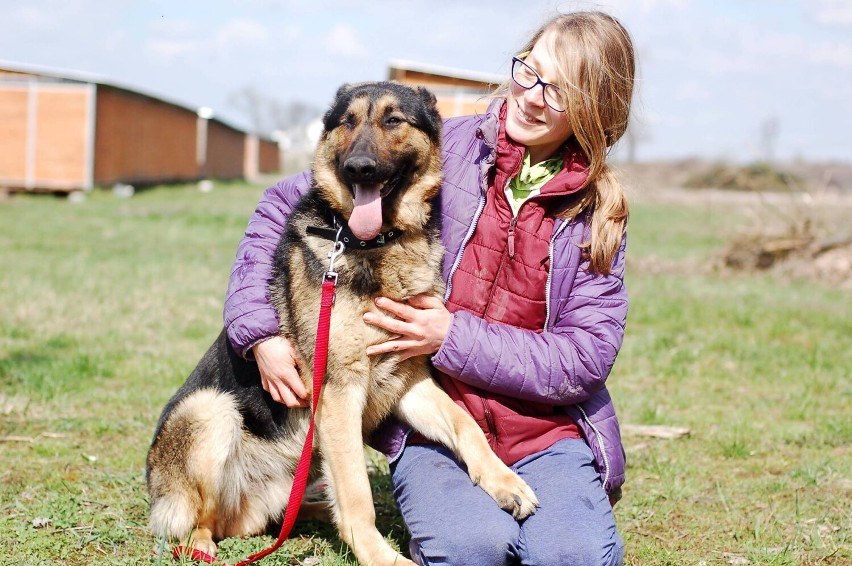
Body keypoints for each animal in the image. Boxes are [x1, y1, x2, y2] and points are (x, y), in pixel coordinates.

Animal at [144, 83, 536, 566]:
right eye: (347, 122)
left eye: (393, 120)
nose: (359, 167)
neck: (374, 243)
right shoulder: (339, 392)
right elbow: (356, 492)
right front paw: (381, 556)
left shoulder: (408, 383)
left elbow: (466, 425)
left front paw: (505, 483)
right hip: (209, 411)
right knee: (199, 523)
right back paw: (202, 545)